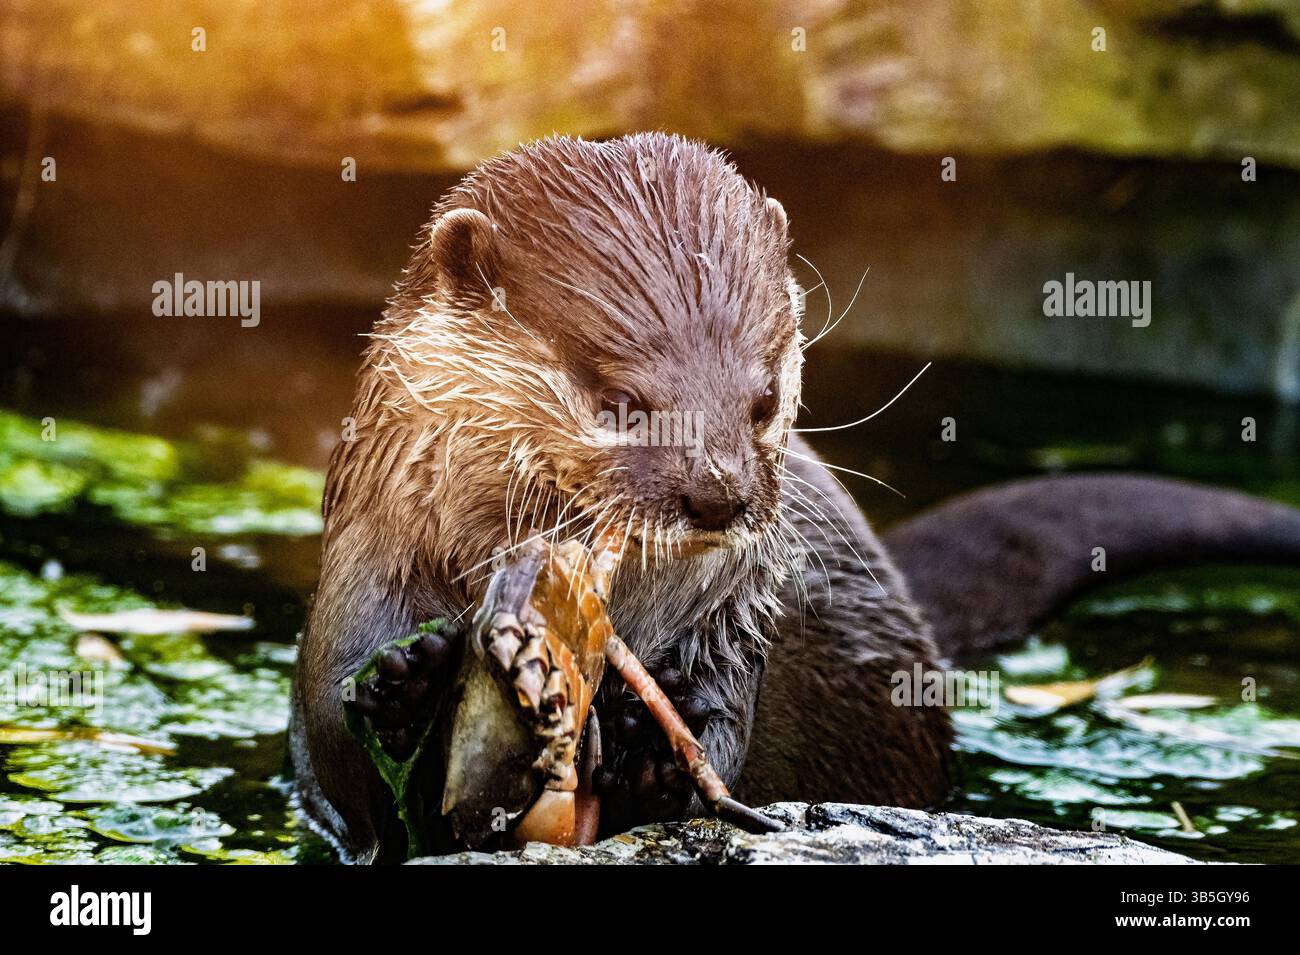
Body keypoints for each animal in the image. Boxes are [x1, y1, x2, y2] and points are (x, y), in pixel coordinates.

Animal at [291, 133, 1300, 863]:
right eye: (619, 400)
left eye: (763, 398)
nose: (721, 494)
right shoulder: (364, 568)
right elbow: (339, 757)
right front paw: (404, 680)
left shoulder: (739, 609)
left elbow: (722, 731)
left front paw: (657, 741)